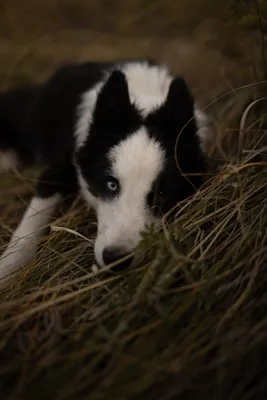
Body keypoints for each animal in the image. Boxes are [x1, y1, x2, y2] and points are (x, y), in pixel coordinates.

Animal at [0, 61, 211, 282]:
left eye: (161, 193)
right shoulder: (60, 167)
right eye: (111, 184)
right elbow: (34, 216)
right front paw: (8, 267)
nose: (115, 260)